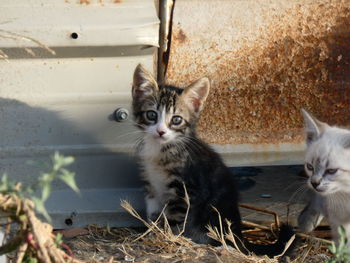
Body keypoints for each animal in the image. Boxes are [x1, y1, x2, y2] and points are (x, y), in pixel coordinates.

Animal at [131, 64, 292, 258]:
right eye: (151, 115)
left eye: (176, 120)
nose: (161, 132)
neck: (162, 149)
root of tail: (239, 235)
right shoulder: (152, 187)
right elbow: (153, 215)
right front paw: (152, 234)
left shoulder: (185, 192)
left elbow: (175, 221)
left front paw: (169, 239)